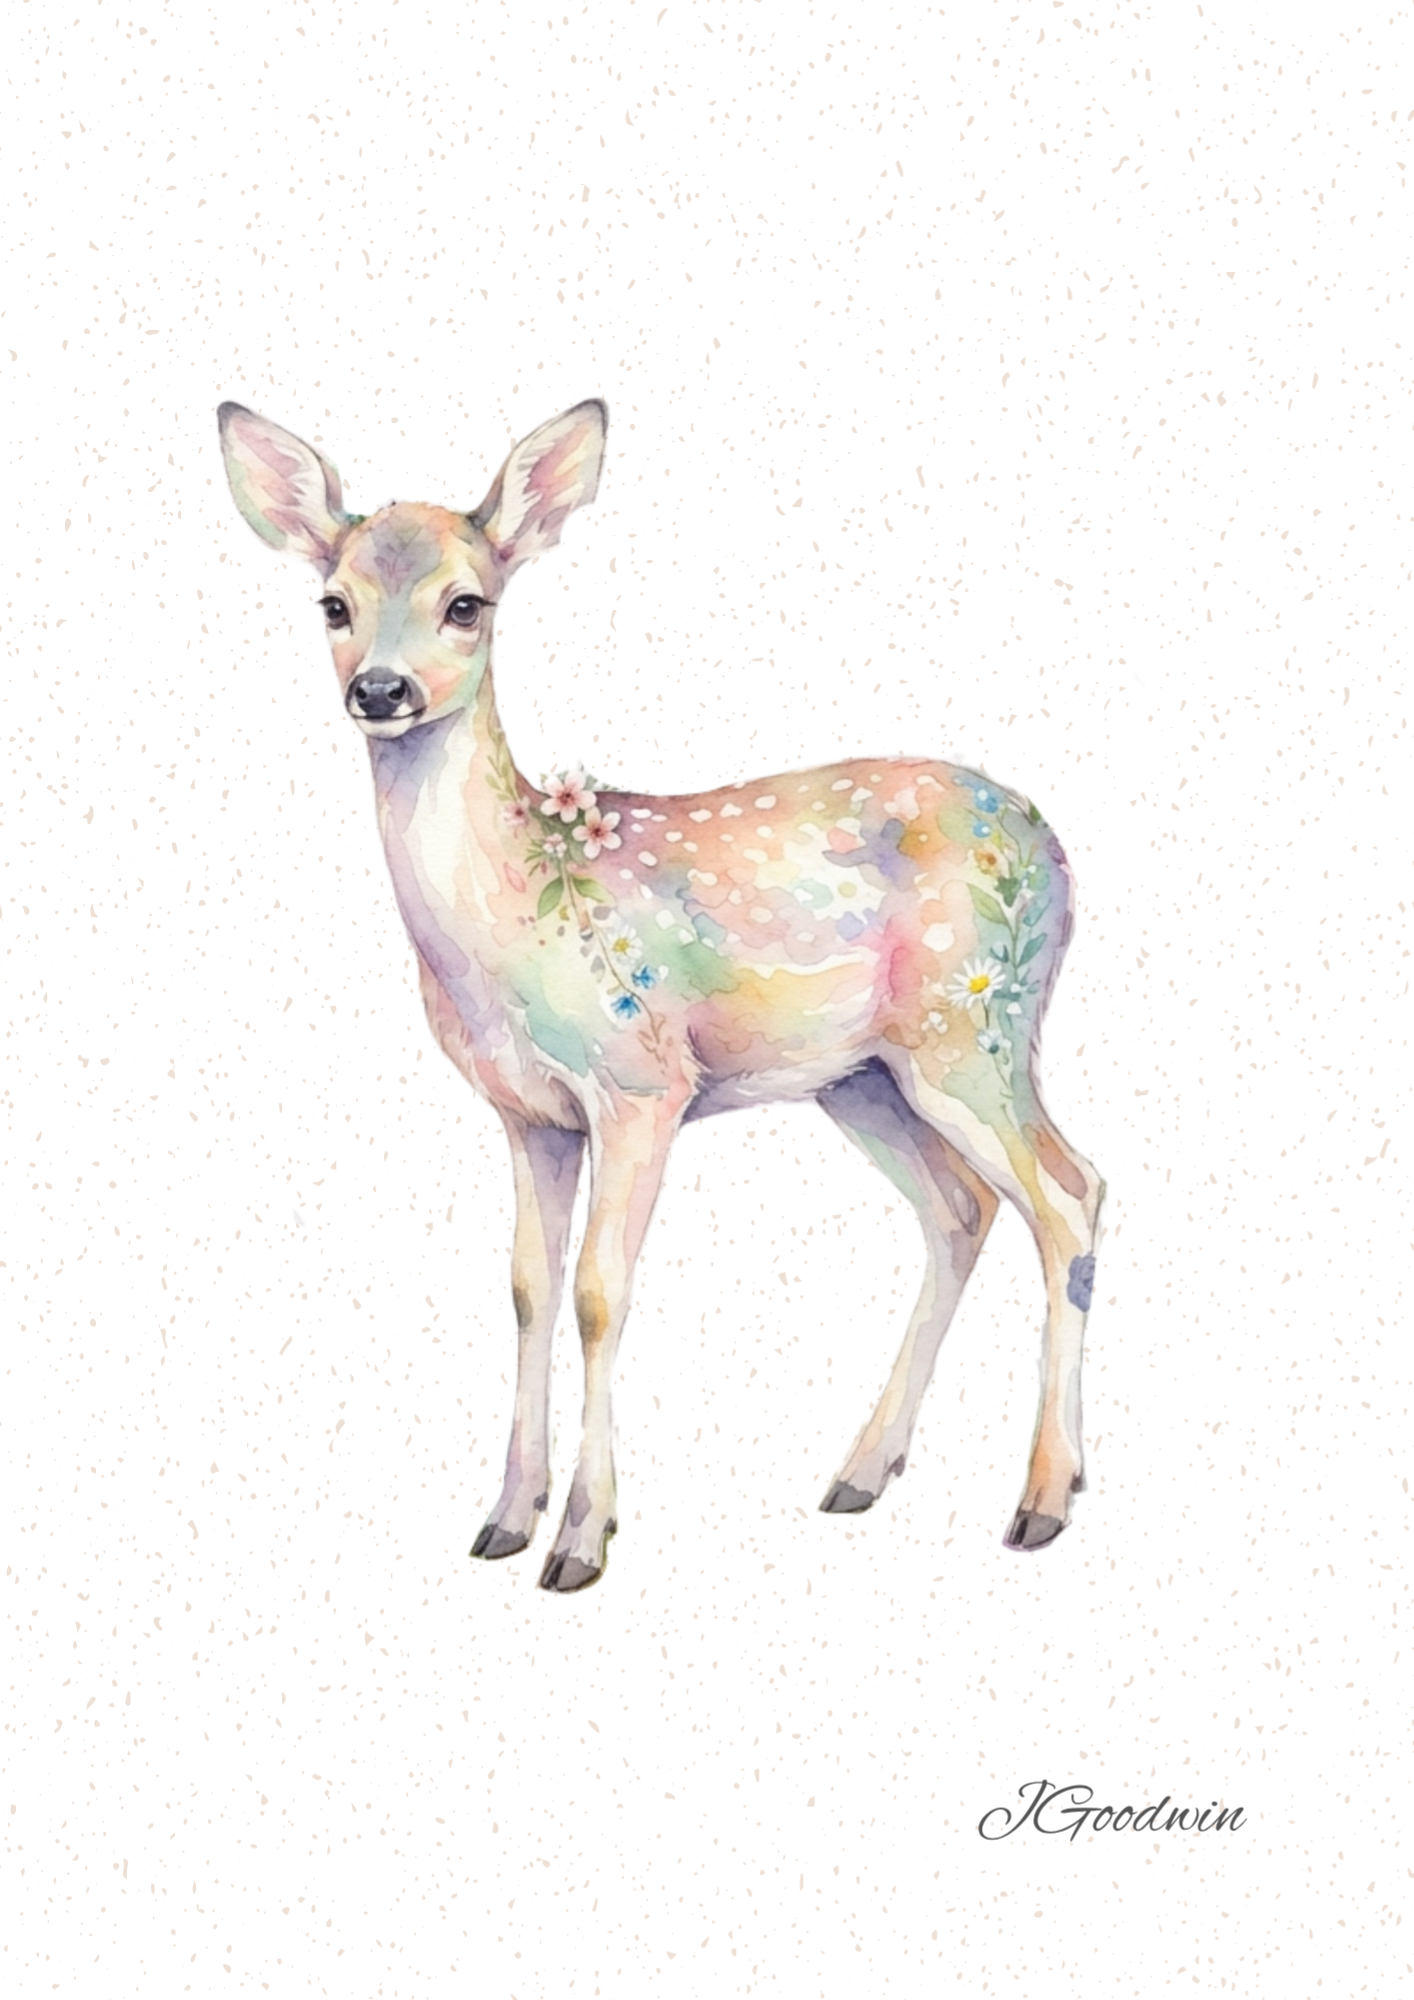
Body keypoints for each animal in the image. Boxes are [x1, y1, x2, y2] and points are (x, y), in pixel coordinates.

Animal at [218, 397, 1104, 1592]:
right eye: (333, 602)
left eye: (466, 602)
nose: (382, 691)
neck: (508, 917)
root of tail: (1053, 849)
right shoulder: (530, 1114)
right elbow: (528, 1288)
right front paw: (505, 1517)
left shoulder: (642, 1083)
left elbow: (601, 1292)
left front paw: (582, 1539)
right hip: (863, 1077)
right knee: (961, 1210)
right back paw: (863, 1473)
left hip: (974, 1027)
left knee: (1069, 1194)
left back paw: (1044, 1498)